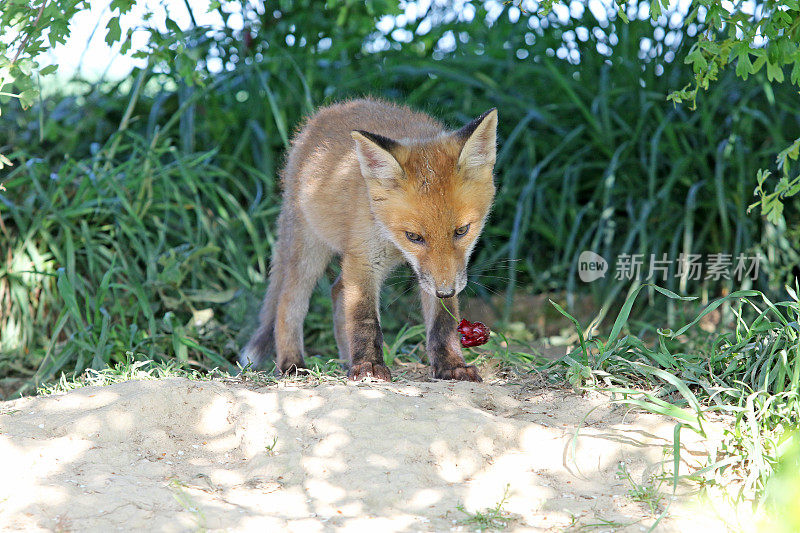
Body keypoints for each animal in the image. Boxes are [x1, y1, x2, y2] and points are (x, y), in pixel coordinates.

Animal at [241, 98, 496, 382]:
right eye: (414, 237)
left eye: (462, 231)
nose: (446, 291)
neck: (390, 235)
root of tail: (327, 112)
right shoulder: (364, 260)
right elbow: (364, 319)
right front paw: (369, 366)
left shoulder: (440, 273)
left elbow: (443, 322)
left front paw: (451, 365)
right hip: (310, 249)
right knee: (288, 302)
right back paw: (292, 364)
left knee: (336, 290)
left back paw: (343, 358)